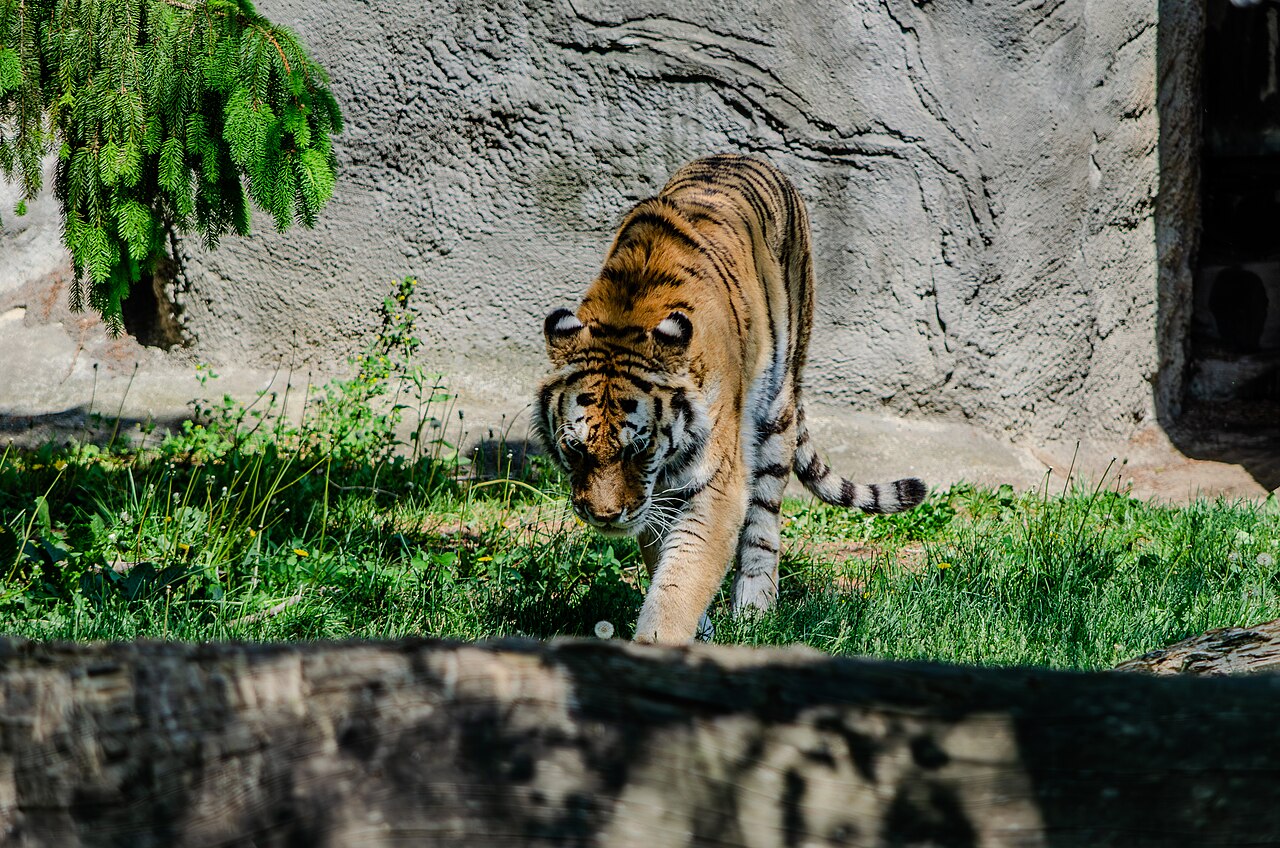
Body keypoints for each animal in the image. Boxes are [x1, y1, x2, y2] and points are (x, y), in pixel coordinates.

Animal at [534, 154, 926, 645]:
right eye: (574, 448)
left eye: (637, 450)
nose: (604, 516)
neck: (627, 314)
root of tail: (744, 156)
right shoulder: (655, 496)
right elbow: (665, 562)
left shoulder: (715, 481)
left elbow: (683, 579)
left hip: (776, 415)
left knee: (763, 525)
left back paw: (755, 613)